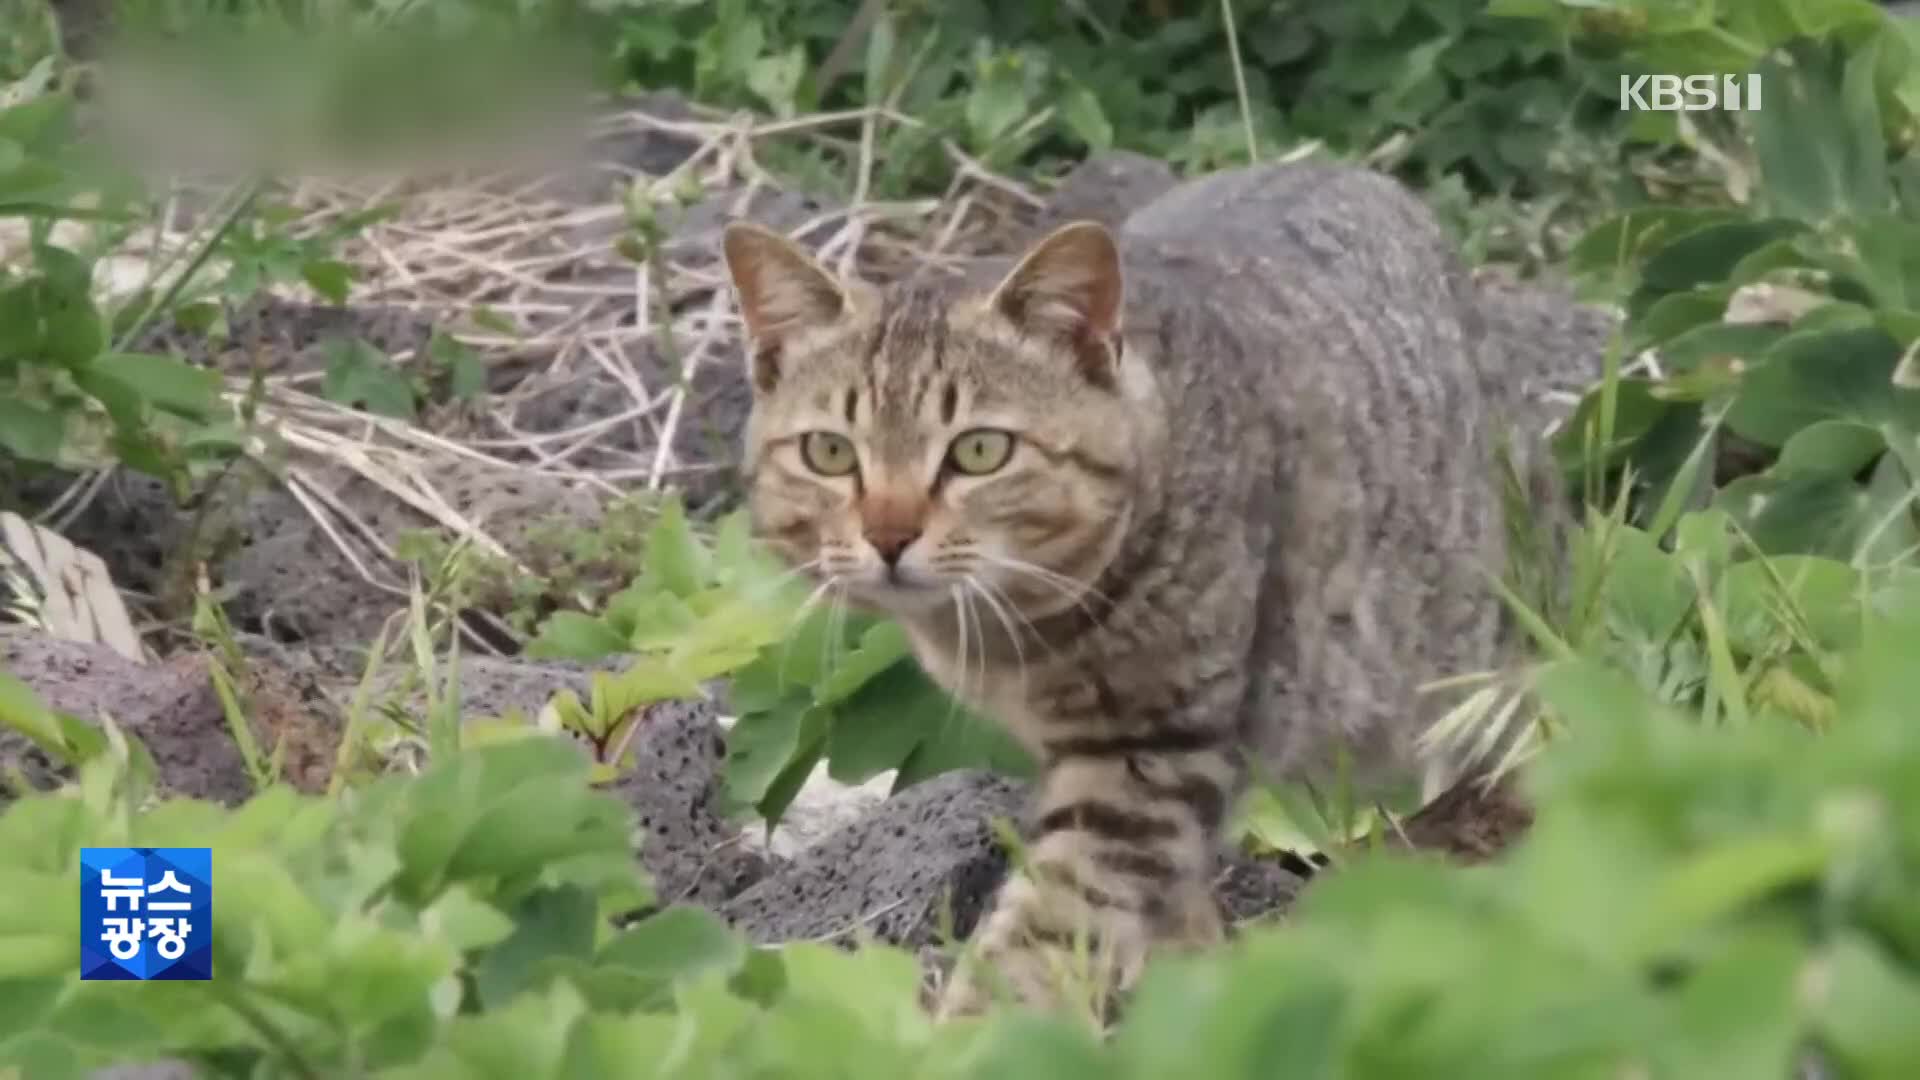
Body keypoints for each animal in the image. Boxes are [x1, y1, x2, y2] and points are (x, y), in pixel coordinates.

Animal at [718, 155, 1512, 1014]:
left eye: (979, 451)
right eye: (830, 453)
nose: (889, 536)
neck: (1025, 638)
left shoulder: (1145, 762)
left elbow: (1042, 932)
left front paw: (970, 1028)